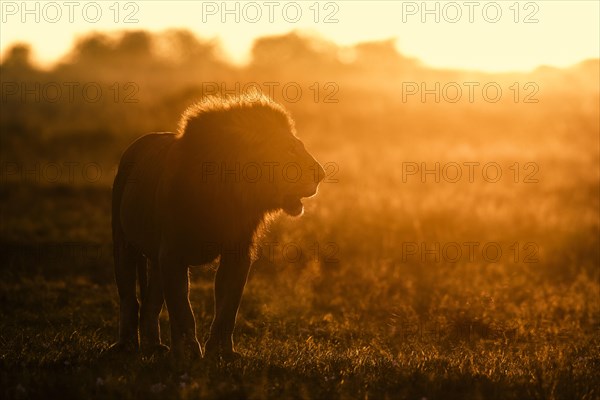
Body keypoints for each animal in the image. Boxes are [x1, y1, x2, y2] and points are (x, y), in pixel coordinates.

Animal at [108, 92, 324, 360]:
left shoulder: (237, 252)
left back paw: (154, 347)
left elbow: (227, 305)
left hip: (155, 261)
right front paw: (189, 353)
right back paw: (127, 346)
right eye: (289, 150)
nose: (322, 174)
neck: (228, 195)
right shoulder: (172, 252)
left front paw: (222, 352)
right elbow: (182, 308)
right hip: (123, 242)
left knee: (151, 302)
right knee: (129, 297)